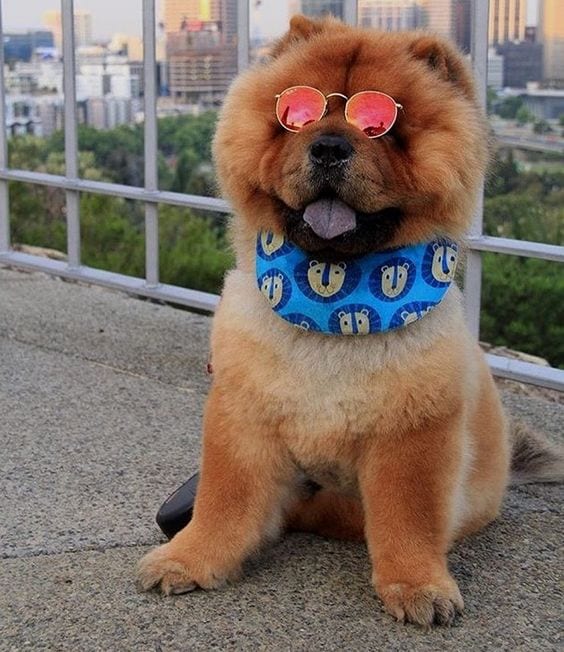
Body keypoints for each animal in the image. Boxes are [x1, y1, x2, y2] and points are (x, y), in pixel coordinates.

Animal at [138, 16, 564, 628]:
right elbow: (225, 499)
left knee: (343, 516)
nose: (330, 146)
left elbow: (407, 520)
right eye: (297, 114)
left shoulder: (412, 439)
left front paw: (417, 586)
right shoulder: (241, 418)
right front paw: (191, 559)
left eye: (382, 124)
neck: (334, 306)